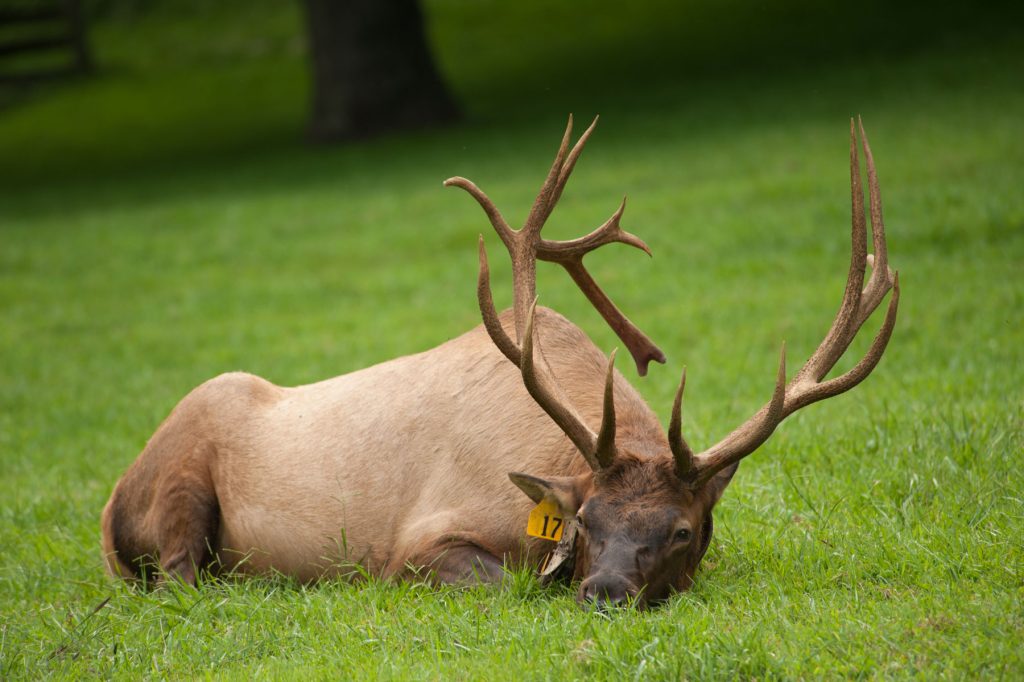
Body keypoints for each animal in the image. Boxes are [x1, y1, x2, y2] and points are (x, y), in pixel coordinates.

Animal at [101, 115, 897, 606]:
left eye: (680, 531)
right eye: (587, 523)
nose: (603, 593)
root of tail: (110, 506)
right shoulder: (412, 546)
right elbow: (507, 584)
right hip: (182, 481)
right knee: (179, 577)